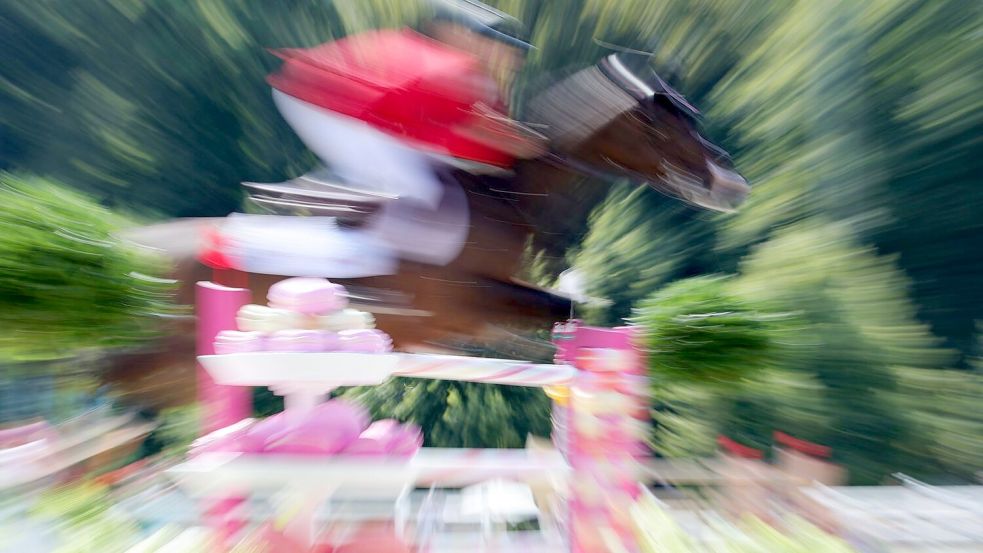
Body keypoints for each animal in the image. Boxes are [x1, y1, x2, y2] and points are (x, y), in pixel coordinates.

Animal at [107, 54, 747, 408]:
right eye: (665, 127)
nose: (732, 185)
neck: (508, 201)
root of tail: (120, 248)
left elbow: (561, 311)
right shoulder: (465, 302)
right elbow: (564, 306)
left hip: (170, 375)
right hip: (154, 359)